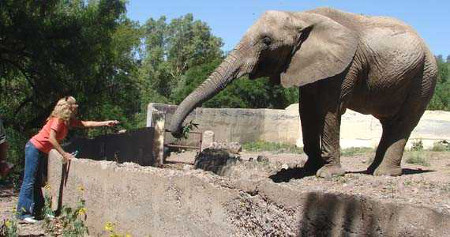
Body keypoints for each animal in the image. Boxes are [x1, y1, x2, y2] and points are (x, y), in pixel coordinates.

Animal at [166, 7, 436, 178]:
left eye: (266, 41)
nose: (178, 131)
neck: (300, 16)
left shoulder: (345, 66)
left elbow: (330, 110)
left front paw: (326, 174)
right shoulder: (306, 64)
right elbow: (307, 110)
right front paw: (307, 169)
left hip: (423, 79)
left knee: (403, 122)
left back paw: (384, 174)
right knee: (390, 124)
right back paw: (371, 170)